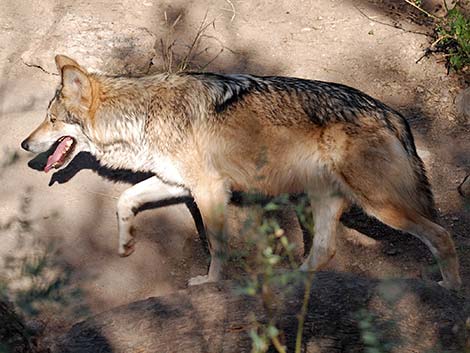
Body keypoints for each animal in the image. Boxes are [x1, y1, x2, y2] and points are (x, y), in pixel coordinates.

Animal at [20, 54, 460, 286]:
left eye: (51, 119)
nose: (24, 146)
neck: (141, 116)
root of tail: (392, 113)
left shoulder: (210, 189)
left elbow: (217, 244)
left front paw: (211, 284)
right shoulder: (177, 183)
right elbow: (125, 199)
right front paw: (126, 242)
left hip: (379, 205)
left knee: (442, 236)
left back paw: (449, 291)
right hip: (322, 202)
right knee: (323, 252)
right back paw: (289, 283)